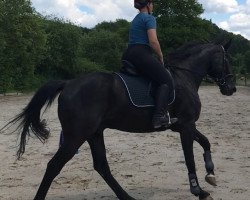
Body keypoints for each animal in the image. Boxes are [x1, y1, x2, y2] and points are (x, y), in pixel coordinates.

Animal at [2, 39, 236, 199]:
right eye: (227, 60)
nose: (231, 89)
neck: (184, 76)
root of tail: (68, 83)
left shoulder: (182, 125)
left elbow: (205, 141)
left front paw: (211, 173)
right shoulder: (186, 125)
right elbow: (189, 157)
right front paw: (198, 190)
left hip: (94, 133)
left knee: (101, 166)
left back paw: (126, 196)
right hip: (75, 136)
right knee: (54, 166)